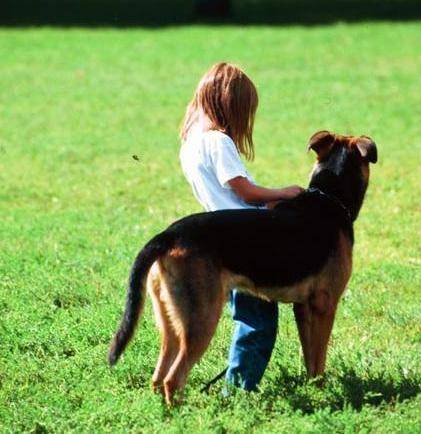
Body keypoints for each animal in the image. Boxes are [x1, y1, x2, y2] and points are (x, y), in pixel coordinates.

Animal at [108, 131, 378, 406]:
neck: (328, 197)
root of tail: (168, 235)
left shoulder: (303, 308)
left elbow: (311, 358)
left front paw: (312, 388)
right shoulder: (325, 306)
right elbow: (320, 356)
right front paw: (322, 392)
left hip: (171, 322)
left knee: (158, 376)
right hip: (201, 320)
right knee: (173, 379)